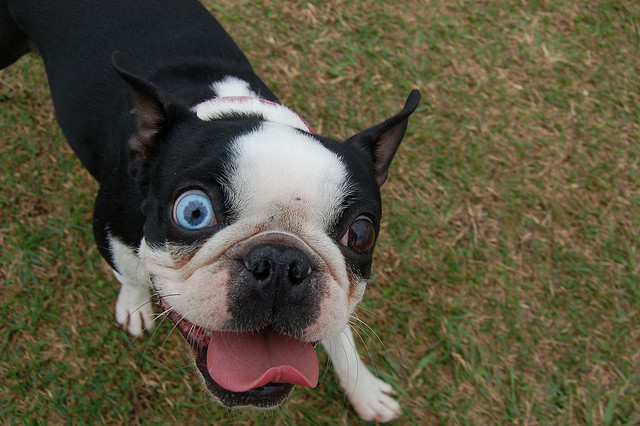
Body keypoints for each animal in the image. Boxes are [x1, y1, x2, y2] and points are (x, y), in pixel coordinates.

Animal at [1, 0, 420, 422]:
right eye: (193, 212)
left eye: (361, 234)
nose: (282, 261)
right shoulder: (110, 230)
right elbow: (131, 272)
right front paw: (134, 303)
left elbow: (340, 333)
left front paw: (364, 389)